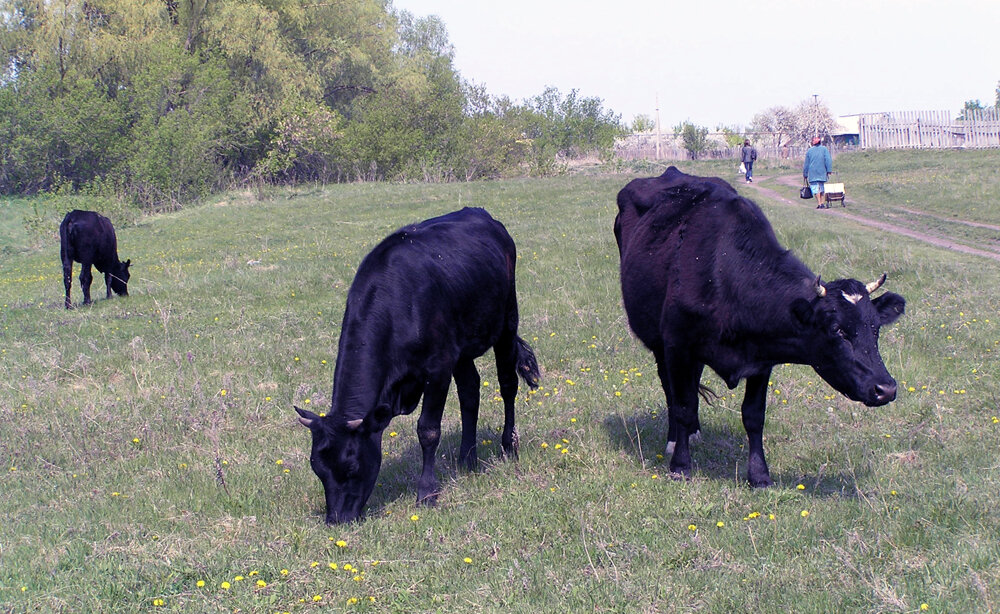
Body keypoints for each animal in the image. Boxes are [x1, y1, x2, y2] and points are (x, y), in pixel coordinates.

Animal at [294, 207, 540, 524]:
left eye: (351, 467)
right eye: (317, 468)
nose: (336, 520)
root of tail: (480, 213)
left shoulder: (438, 368)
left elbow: (428, 430)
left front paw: (426, 492)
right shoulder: (446, 358)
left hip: (507, 321)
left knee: (508, 384)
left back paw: (509, 446)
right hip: (462, 348)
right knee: (470, 393)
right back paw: (467, 458)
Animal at [616, 166, 908, 488]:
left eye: (876, 328)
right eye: (836, 329)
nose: (886, 389)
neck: (722, 274)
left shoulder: (762, 356)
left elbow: (753, 415)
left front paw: (759, 474)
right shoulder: (677, 345)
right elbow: (681, 405)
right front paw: (680, 465)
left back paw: (694, 432)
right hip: (658, 341)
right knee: (671, 390)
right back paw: (675, 439)